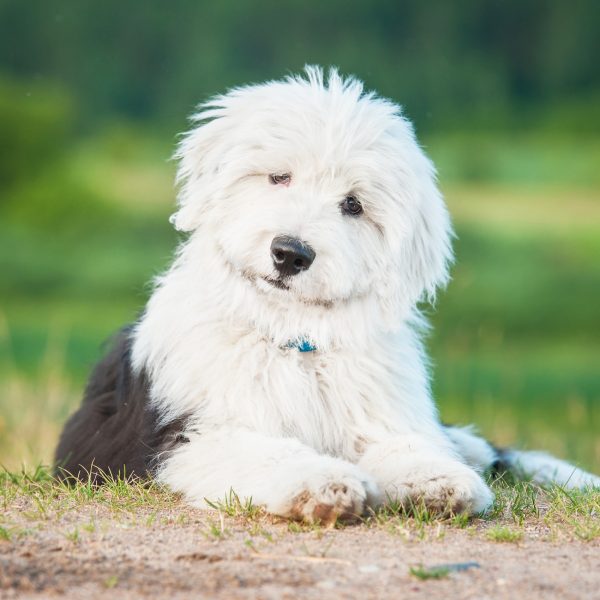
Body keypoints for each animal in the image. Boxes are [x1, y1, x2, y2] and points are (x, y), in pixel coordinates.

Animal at [54, 68, 596, 524]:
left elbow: (403, 446)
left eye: (352, 205)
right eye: (279, 176)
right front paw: (324, 483)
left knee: (483, 447)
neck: (295, 337)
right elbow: (266, 452)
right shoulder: (192, 435)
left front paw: (437, 481)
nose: (290, 254)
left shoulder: (380, 414)